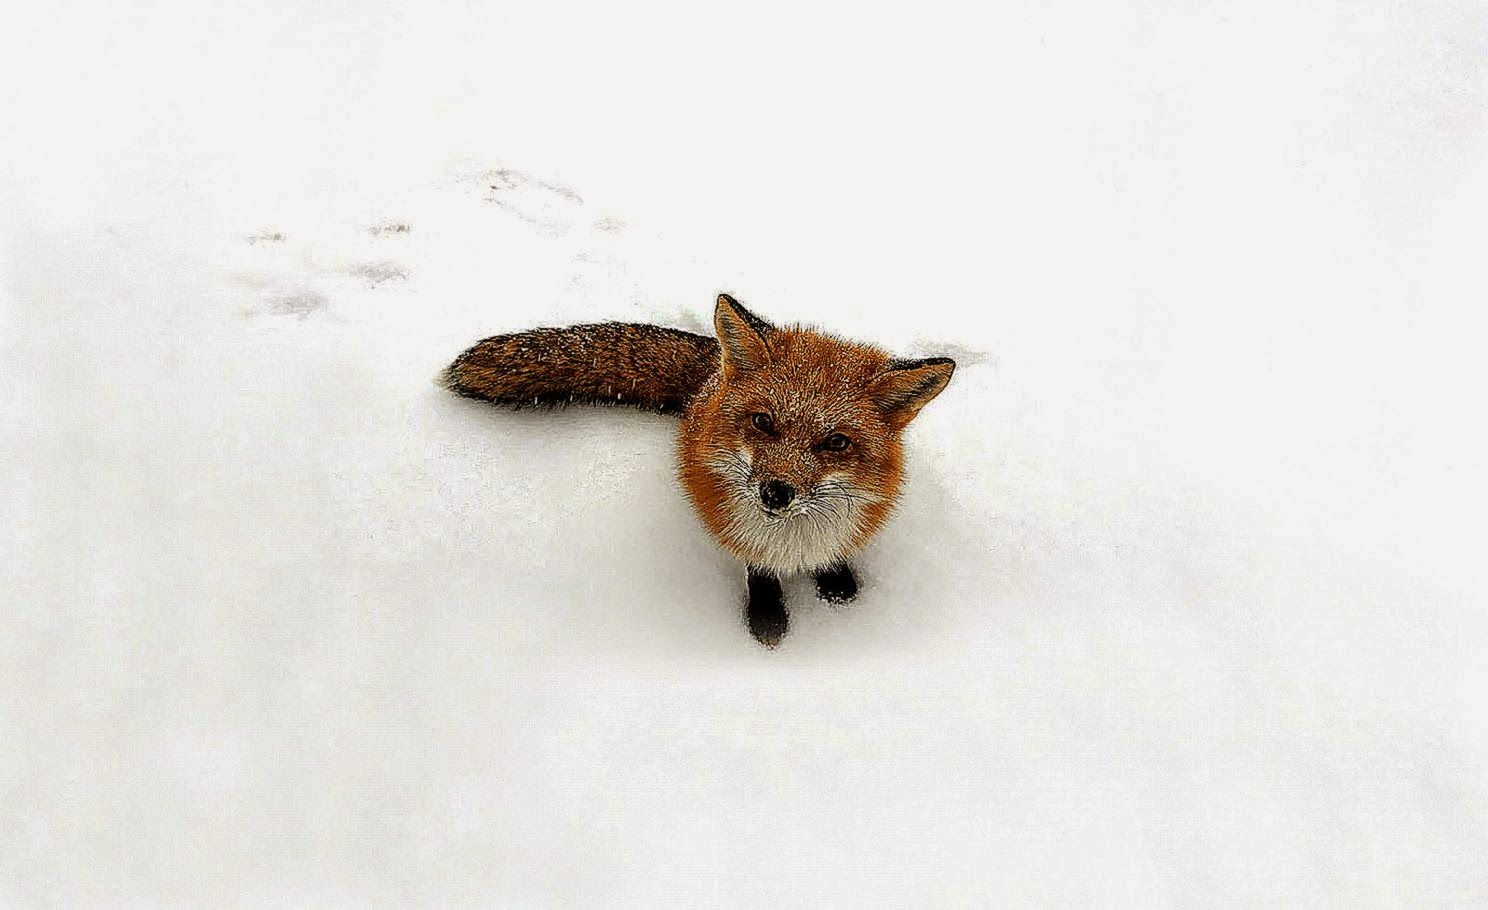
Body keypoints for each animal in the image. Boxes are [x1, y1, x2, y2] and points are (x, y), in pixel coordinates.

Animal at [442, 293, 954, 646]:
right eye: (763, 422)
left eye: (836, 443)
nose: (776, 492)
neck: (793, 544)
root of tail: (711, 374)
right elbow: (758, 572)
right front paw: (766, 620)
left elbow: (835, 560)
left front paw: (839, 591)